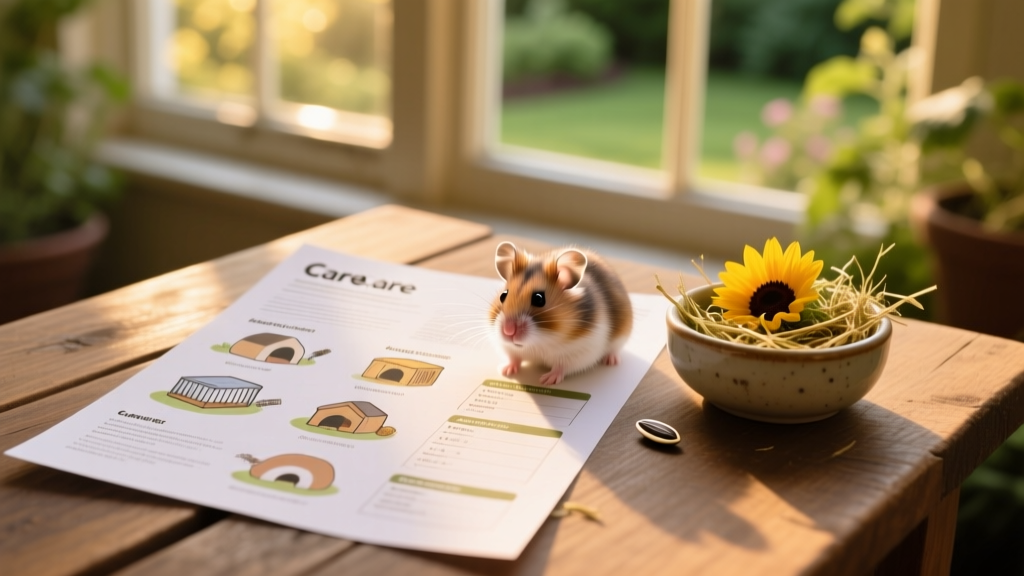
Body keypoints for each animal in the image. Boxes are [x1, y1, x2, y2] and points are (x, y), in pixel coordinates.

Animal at [489, 241, 633, 386]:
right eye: (503, 295)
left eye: (539, 299)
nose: (508, 331)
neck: (540, 341)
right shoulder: (508, 347)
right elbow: (514, 358)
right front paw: (505, 371)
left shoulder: (580, 352)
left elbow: (561, 366)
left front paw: (546, 380)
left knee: (614, 350)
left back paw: (611, 361)